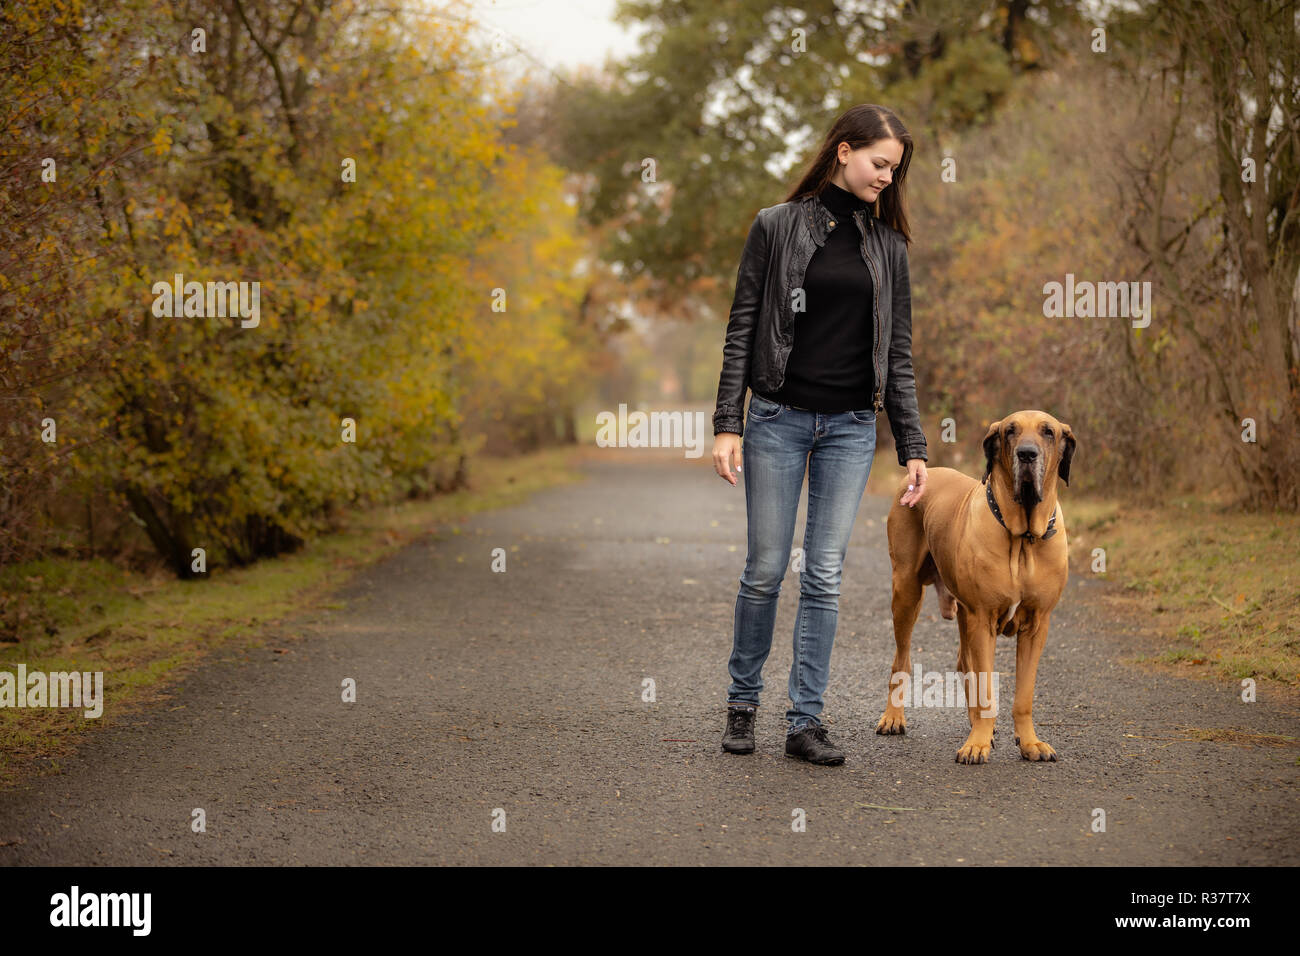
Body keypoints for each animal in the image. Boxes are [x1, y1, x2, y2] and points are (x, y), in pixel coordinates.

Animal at [883, 411, 1076, 764]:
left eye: (1048, 432)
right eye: (1010, 430)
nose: (1027, 454)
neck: (1022, 539)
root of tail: (921, 474)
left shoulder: (1037, 625)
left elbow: (1023, 695)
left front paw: (1029, 742)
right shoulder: (983, 619)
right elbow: (986, 689)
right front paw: (977, 744)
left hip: (962, 613)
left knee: (965, 663)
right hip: (906, 591)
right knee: (902, 661)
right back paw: (893, 717)